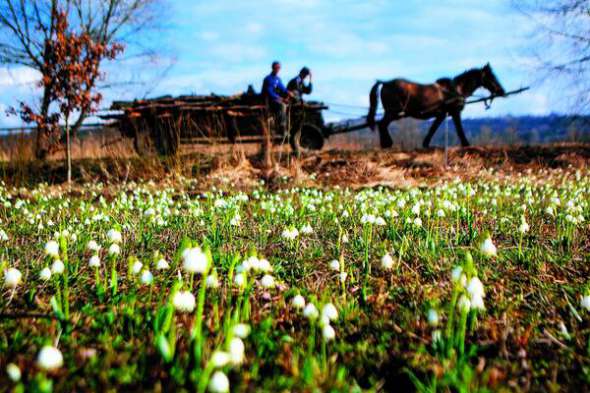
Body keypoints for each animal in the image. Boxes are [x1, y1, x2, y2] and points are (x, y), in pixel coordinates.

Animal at [368, 63, 506, 149]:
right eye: (491, 77)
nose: (502, 91)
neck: (455, 89)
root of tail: (385, 82)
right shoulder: (455, 113)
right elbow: (459, 129)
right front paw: (466, 144)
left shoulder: (442, 114)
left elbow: (433, 129)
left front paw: (425, 144)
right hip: (393, 112)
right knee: (382, 124)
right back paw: (386, 144)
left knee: (382, 124)